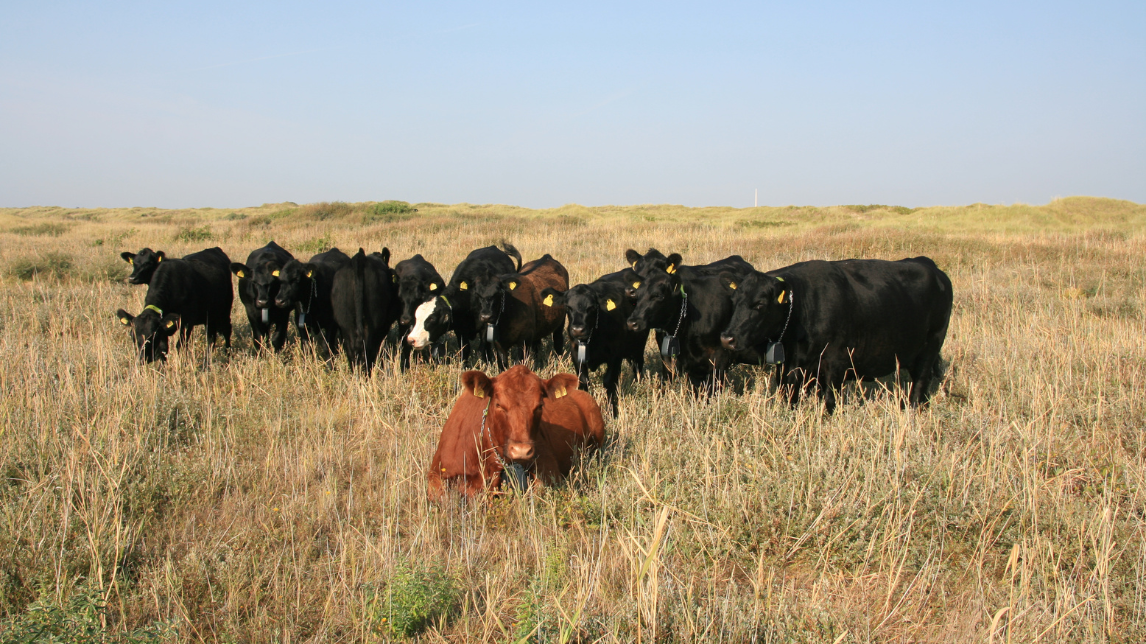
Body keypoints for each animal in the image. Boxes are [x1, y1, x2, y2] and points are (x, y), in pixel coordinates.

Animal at [540, 265, 650, 410]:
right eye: (568, 307)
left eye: (591, 307)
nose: (578, 330)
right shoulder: (576, 354)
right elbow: (583, 380)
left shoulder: (615, 356)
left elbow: (609, 381)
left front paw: (611, 410)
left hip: (639, 344)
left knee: (638, 366)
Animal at [719, 255, 953, 410]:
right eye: (734, 301)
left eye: (760, 304)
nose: (727, 338)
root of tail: (929, 265)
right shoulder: (790, 366)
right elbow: (789, 396)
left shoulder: (836, 363)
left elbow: (830, 402)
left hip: (931, 346)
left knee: (920, 382)